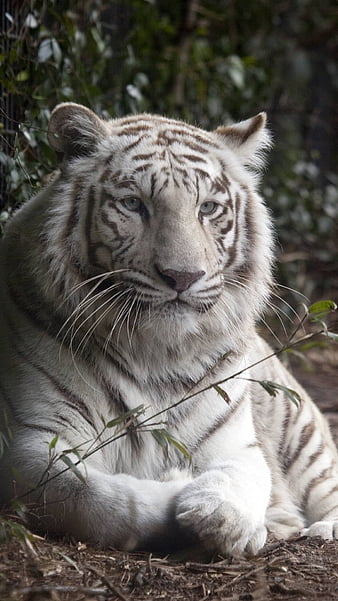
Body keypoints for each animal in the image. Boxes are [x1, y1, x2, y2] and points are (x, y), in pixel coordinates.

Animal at [0, 102, 338, 552]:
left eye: (208, 208)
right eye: (133, 204)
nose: (183, 276)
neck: (154, 351)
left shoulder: (237, 444)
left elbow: (240, 479)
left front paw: (223, 517)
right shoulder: (34, 441)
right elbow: (93, 496)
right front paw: (179, 486)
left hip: (299, 427)